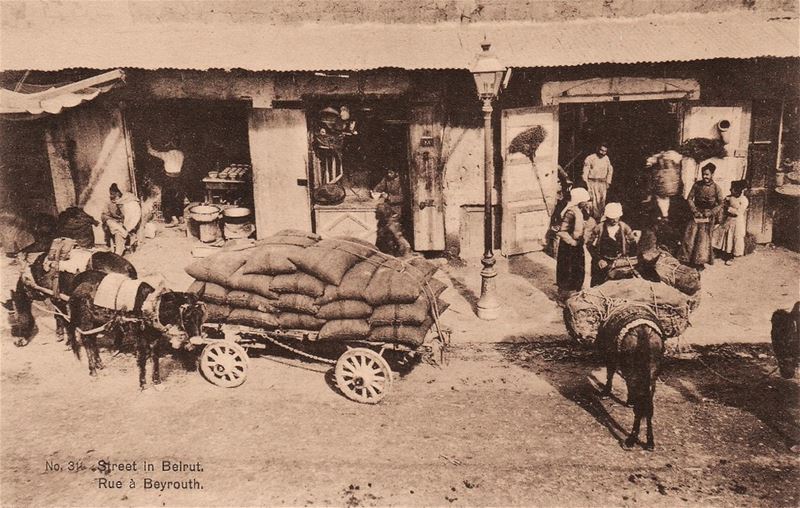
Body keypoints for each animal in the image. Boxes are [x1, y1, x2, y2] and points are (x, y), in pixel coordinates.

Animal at [5, 249, 136, 346]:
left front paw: (65, 339)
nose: (17, 342)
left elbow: (61, 317)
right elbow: (59, 316)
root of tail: (128, 267)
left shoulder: (56, 298)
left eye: (15, 319)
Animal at [68, 274, 206, 388]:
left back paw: (100, 365)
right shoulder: (140, 338)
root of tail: (77, 288)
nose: (197, 341)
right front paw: (143, 385)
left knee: (92, 341)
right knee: (87, 342)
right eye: (186, 318)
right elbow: (142, 359)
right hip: (87, 322)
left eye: (201, 316)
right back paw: (93, 371)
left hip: (97, 322)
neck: (150, 308)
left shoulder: (155, 337)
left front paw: (157, 382)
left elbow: (155, 358)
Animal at [596, 304, 664, 450]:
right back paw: (650, 442)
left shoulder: (611, 356)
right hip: (652, 375)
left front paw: (605, 392)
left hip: (633, 370)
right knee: (648, 407)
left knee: (639, 407)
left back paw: (631, 440)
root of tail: (643, 331)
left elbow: (610, 373)